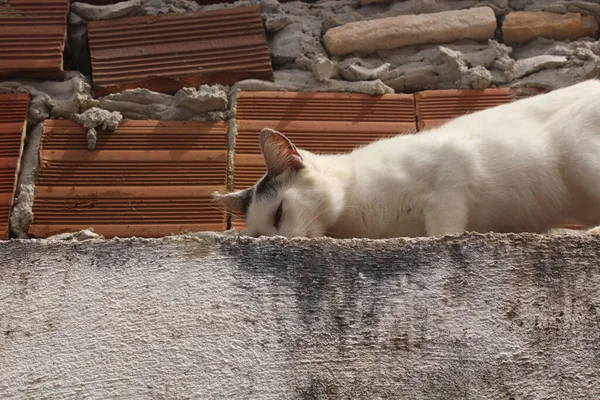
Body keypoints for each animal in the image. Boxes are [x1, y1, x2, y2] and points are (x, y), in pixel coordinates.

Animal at [216, 79, 600, 239]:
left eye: (279, 214)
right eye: (259, 235)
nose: (279, 243)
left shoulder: (452, 176)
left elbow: (443, 231)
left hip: (576, 149)